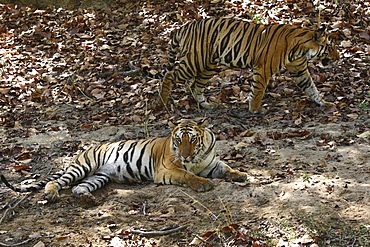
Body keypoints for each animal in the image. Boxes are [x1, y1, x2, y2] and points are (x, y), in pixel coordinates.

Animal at [1, 118, 249, 203]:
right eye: (178, 141)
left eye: (192, 139)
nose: (185, 155)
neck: (197, 156)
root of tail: (83, 150)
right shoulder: (166, 169)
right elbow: (188, 175)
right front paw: (204, 184)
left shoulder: (211, 163)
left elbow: (227, 167)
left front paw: (241, 175)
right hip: (84, 166)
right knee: (58, 182)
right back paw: (52, 194)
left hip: (98, 177)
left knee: (78, 188)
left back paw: (87, 199)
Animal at [152, 17, 340, 113]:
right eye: (330, 47)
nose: (338, 57)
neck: (302, 49)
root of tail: (183, 27)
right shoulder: (263, 68)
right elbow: (257, 90)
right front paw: (255, 109)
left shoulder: (299, 69)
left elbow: (311, 87)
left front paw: (324, 102)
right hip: (195, 60)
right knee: (170, 76)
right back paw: (161, 103)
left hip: (208, 65)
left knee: (195, 86)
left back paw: (207, 105)